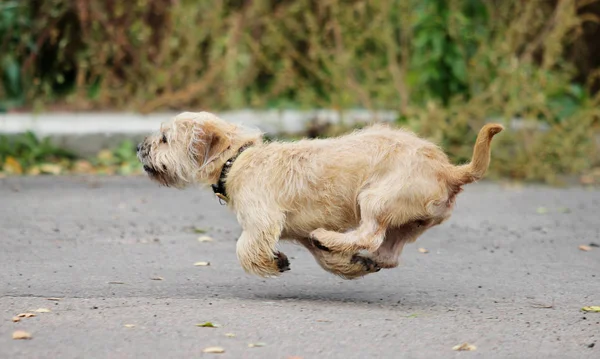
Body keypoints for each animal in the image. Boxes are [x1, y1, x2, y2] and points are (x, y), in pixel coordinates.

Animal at [136, 111, 502, 280]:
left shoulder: (262, 221)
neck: (236, 159)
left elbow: (244, 248)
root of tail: (448, 169)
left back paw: (330, 237)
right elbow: (325, 260)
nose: (139, 147)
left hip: (375, 198)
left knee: (370, 235)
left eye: (165, 138)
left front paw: (270, 263)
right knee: (387, 252)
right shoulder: (295, 232)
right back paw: (354, 253)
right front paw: (348, 265)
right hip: (408, 223)